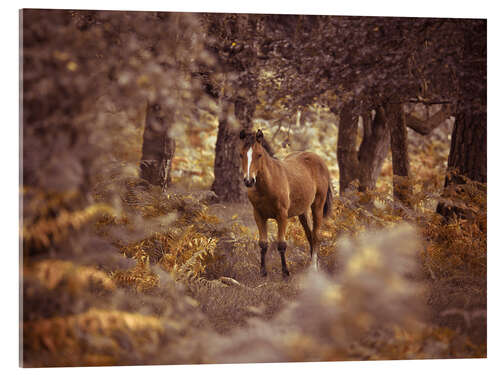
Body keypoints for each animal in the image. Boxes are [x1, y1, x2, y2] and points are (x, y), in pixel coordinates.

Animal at [239, 130, 332, 280]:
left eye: (259, 155)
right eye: (241, 154)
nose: (248, 181)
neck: (268, 185)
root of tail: (317, 158)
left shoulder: (281, 215)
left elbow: (281, 244)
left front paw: (285, 272)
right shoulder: (258, 215)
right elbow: (263, 244)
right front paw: (263, 272)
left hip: (317, 205)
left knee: (316, 235)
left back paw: (313, 267)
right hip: (302, 212)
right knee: (309, 234)